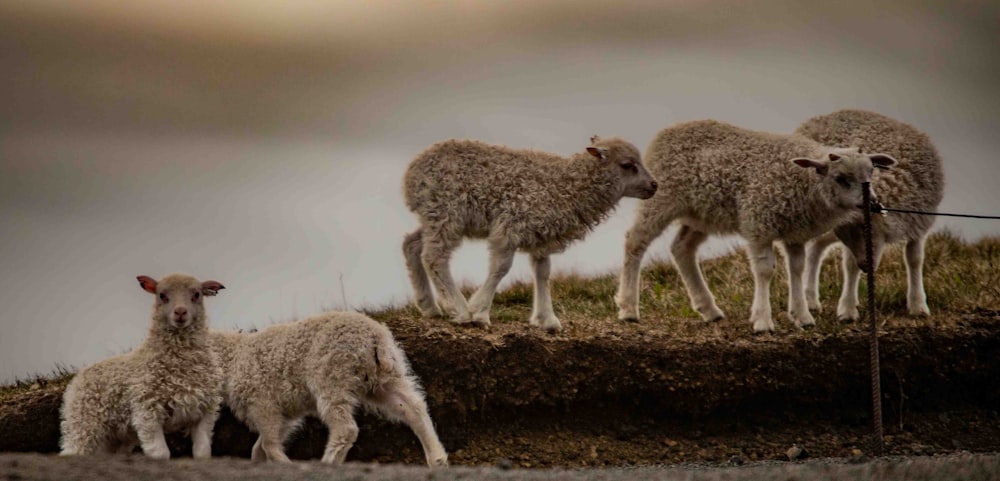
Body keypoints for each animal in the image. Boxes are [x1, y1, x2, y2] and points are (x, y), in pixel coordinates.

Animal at [58, 274, 227, 458]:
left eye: (197, 294)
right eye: (162, 295)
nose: (180, 312)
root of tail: (78, 377)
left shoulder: (204, 411)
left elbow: (202, 452)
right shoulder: (146, 411)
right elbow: (161, 453)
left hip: (116, 435)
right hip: (84, 421)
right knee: (73, 449)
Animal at [211, 310, 450, 466]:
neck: (233, 357)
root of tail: (375, 337)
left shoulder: (263, 404)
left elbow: (268, 444)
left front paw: (284, 463)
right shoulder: (285, 414)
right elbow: (260, 448)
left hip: (332, 379)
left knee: (346, 429)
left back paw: (328, 463)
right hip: (384, 379)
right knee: (413, 408)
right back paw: (437, 459)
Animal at [402, 133, 660, 332]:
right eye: (627, 165)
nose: (654, 185)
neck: (569, 185)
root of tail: (411, 175)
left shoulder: (541, 236)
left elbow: (543, 273)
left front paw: (547, 319)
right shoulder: (511, 225)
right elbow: (500, 268)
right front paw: (480, 312)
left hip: (435, 217)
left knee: (411, 245)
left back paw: (430, 306)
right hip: (447, 213)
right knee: (434, 257)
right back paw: (460, 309)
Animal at [608, 119, 900, 334]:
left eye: (871, 172)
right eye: (840, 178)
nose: (874, 203)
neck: (804, 182)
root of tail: (669, 130)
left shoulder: (795, 232)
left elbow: (796, 268)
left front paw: (802, 316)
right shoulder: (759, 223)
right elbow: (765, 270)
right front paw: (762, 322)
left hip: (701, 213)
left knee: (682, 249)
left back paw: (708, 309)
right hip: (662, 198)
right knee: (636, 240)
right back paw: (629, 308)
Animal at [796, 109, 944, 320]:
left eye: (868, 228)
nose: (866, 266)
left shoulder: (918, 223)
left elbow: (915, 260)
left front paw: (918, 305)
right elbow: (850, 265)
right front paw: (848, 310)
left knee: (816, 247)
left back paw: (811, 300)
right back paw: (810, 299)